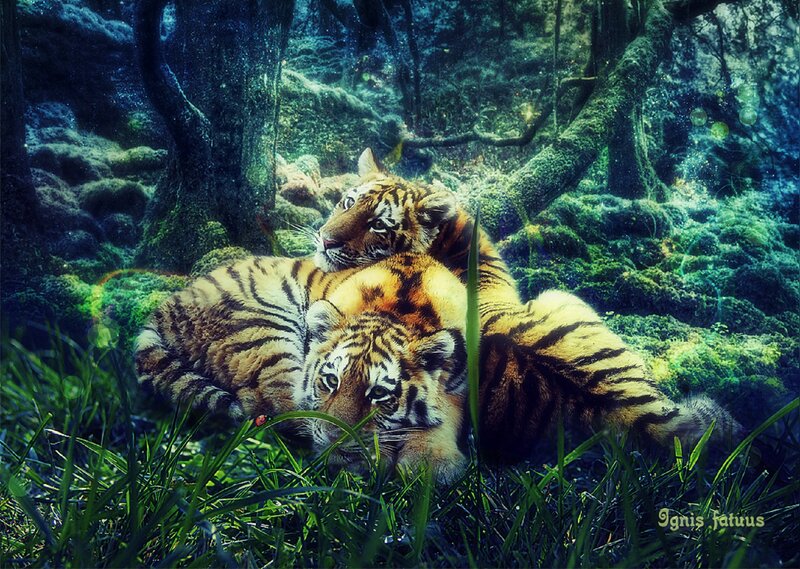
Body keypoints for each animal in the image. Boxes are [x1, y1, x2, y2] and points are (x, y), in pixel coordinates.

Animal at [135, 253, 469, 481]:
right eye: (331, 381)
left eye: (378, 394)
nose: (335, 441)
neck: (402, 311)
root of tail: (167, 306)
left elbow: (445, 411)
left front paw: (430, 465)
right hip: (266, 332)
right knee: (269, 410)